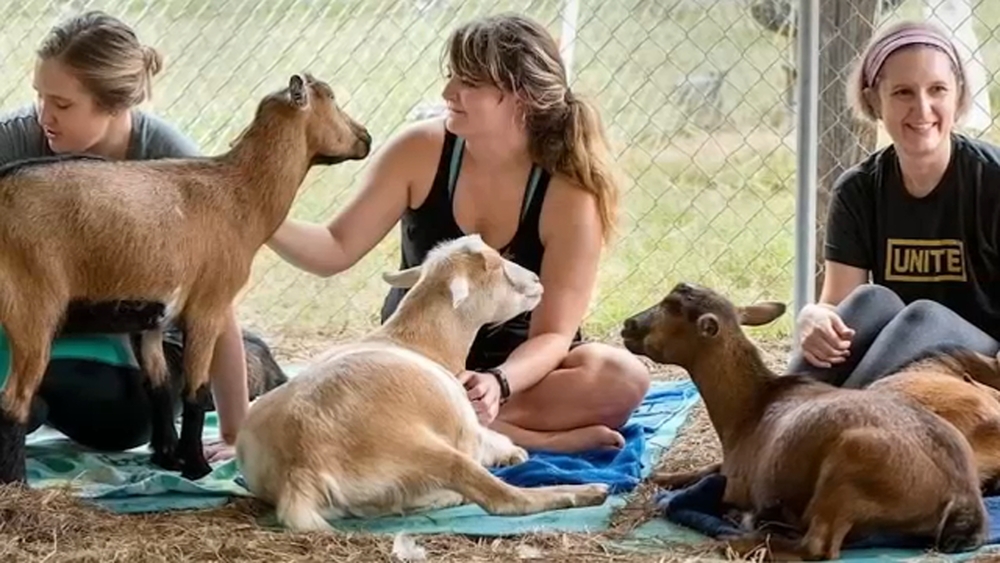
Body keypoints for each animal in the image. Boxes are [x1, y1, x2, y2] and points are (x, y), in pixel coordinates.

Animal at [0, 72, 371, 484]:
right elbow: (195, 391)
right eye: (330, 97)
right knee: (13, 401)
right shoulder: (209, 306)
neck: (240, 193)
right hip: (32, 307)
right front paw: (196, 466)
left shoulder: (151, 319)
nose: (366, 138)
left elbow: (159, 387)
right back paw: (16, 482)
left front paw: (166, 458)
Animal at [234, 234, 610, 531]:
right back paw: (588, 491)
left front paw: (510, 451)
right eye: (493, 265)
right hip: (426, 452)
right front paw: (511, 453)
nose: (536, 279)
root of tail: (301, 470)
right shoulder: (466, 432)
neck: (419, 343)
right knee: (503, 498)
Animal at [620, 282, 987, 561]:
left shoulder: (738, 481)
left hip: (850, 470)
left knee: (818, 546)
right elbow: (707, 467)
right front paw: (664, 475)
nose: (627, 326)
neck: (752, 406)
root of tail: (962, 494)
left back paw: (739, 539)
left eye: (672, 308)